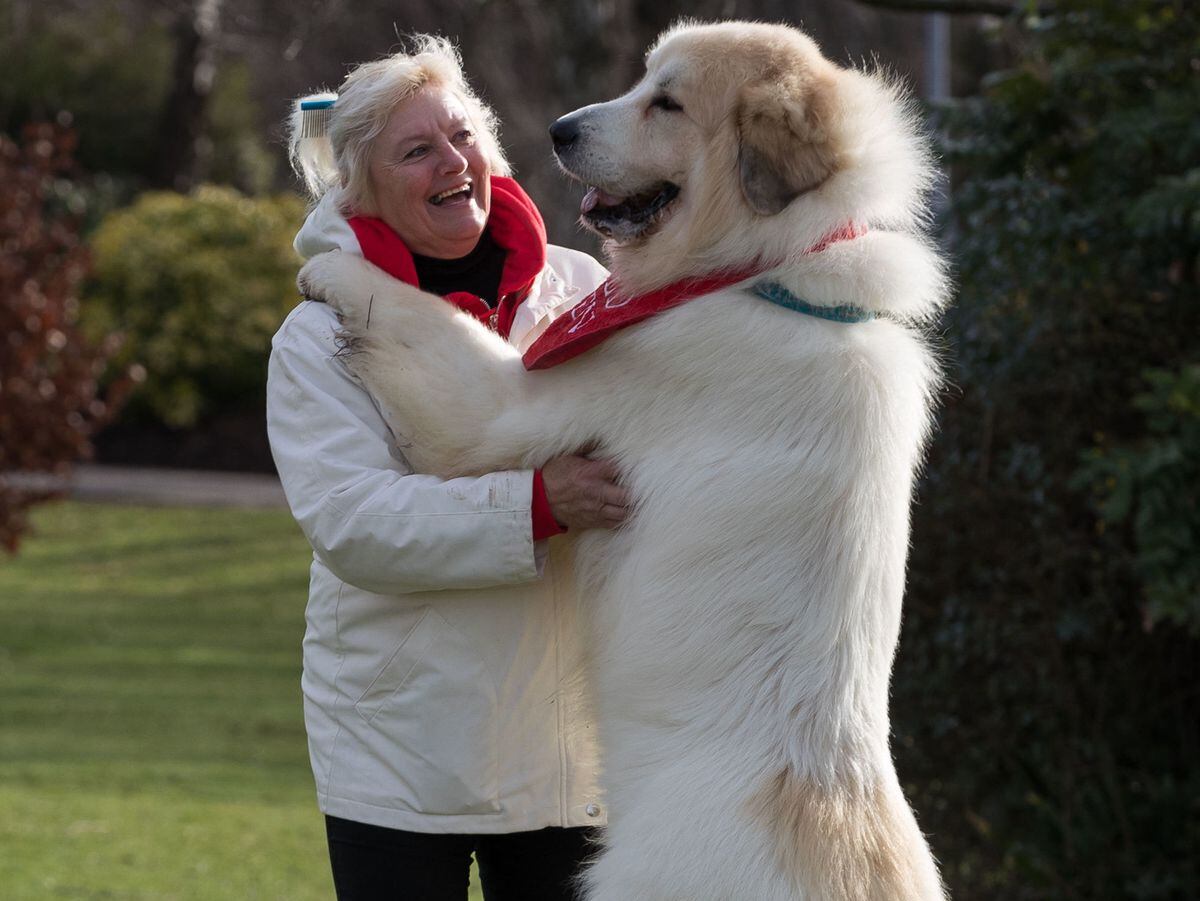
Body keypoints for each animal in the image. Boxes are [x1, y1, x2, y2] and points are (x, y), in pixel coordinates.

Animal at [297, 21, 945, 901]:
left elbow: (414, 313)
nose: (559, 130)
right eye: (642, 80)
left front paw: (330, 248)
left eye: (666, 103)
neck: (763, 278)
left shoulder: (506, 401)